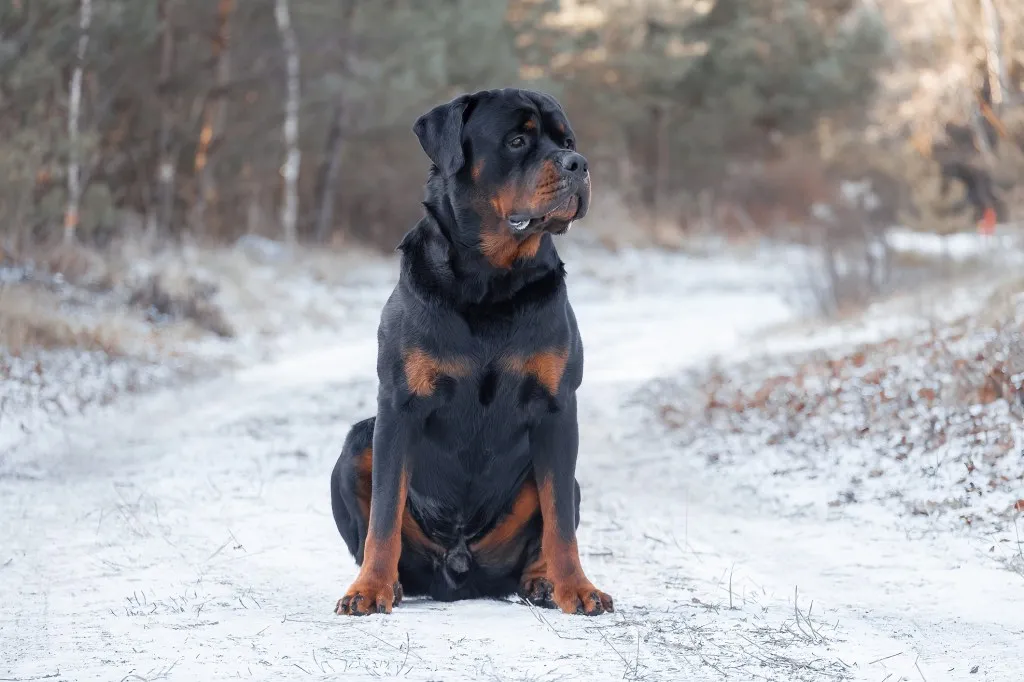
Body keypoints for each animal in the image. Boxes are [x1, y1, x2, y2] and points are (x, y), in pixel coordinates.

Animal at [331, 87, 610, 614]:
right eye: (518, 140)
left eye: (567, 141)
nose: (579, 163)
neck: (490, 282)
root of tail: (459, 572)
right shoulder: (398, 405)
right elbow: (383, 515)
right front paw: (369, 589)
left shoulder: (558, 409)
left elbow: (560, 519)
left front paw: (577, 588)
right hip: (359, 441)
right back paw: (391, 583)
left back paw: (541, 582)